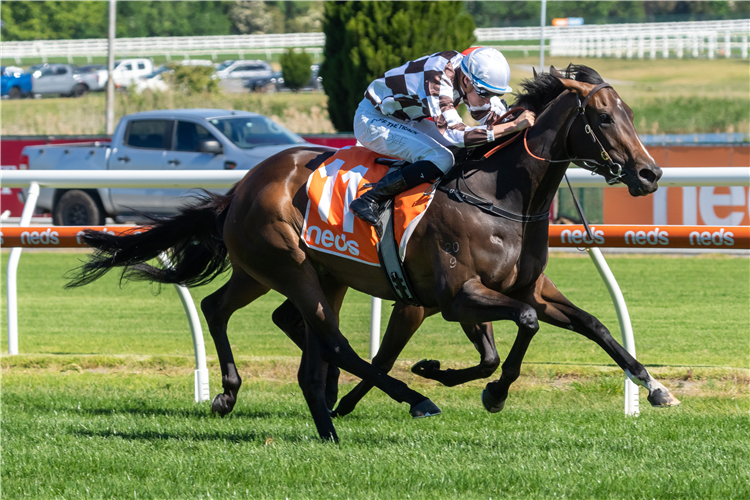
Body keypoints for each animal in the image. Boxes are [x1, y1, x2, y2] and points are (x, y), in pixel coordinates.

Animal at [69, 65, 680, 442]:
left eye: (629, 113)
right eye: (604, 117)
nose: (650, 173)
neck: (498, 197)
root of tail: (242, 187)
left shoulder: (518, 288)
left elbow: (592, 324)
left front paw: (654, 387)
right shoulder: (457, 296)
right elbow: (520, 328)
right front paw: (485, 391)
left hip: (284, 272)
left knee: (233, 313)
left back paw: (256, 402)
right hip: (290, 265)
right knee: (331, 342)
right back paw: (399, 401)